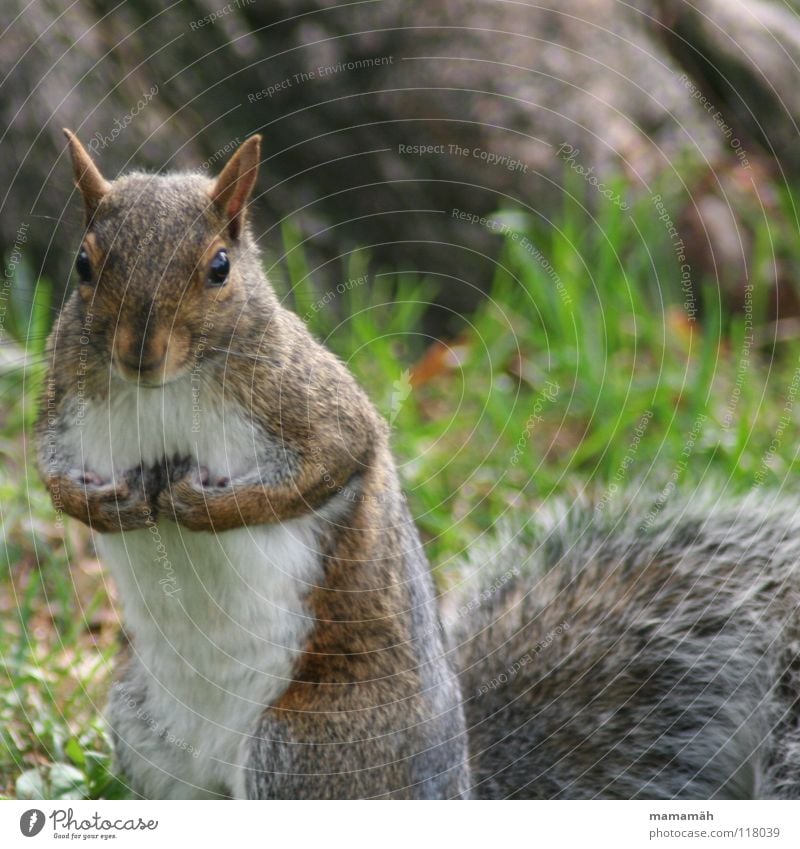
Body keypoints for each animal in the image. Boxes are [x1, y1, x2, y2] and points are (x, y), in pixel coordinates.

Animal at [36, 131, 800, 796]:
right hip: (147, 733)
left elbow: (328, 464)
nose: (140, 353)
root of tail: (459, 791)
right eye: (83, 263)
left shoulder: (313, 405)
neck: (163, 392)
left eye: (220, 266)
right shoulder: (63, 403)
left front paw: (204, 506)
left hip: (306, 749)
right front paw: (99, 505)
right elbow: (46, 473)